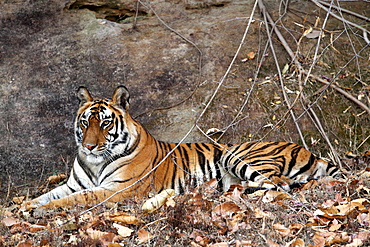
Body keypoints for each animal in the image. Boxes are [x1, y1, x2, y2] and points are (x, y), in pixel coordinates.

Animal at [28, 86, 342, 207]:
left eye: (105, 123)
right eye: (85, 123)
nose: (90, 146)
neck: (95, 162)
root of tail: (309, 151)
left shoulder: (120, 189)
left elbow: (75, 200)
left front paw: (44, 211)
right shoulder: (72, 184)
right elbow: (48, 195)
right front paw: (27, 208)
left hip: (239, 156)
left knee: (279, 185)